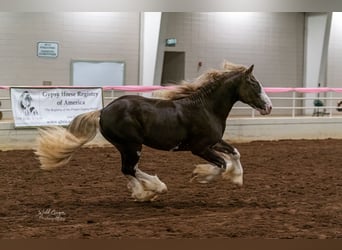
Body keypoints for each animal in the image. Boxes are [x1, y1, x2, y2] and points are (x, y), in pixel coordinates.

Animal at [35, 61, 272, 202]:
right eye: (253, 83)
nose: (269, 107)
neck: (205, 108)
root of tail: (103, 111)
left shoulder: (214, 142)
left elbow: (235, 153)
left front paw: (237, 179)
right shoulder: (200, 148)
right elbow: (221, 164)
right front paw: (201, 176)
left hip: (125, 146)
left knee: (128, 169)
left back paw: (143, 192)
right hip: (131, 145)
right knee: (129, 168)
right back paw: (155, 189)